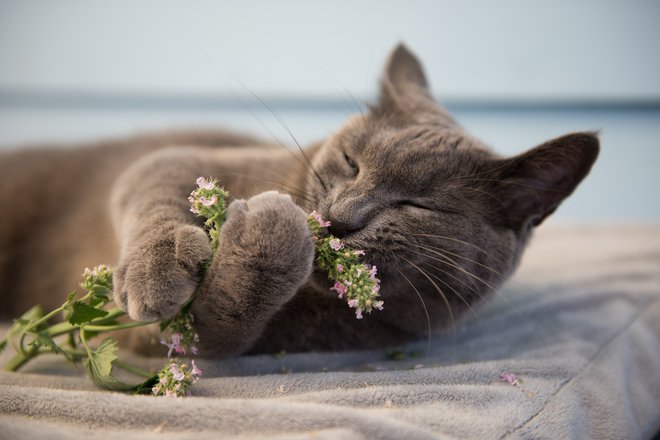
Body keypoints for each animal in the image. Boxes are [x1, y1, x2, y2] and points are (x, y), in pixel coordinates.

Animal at [0, 44, 600, 358]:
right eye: (352, 162)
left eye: (419, 206)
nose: (339, 218)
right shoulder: (174, 159)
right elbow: (154, 192)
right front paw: (155, 273)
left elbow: (219, 327)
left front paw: (269, 235)